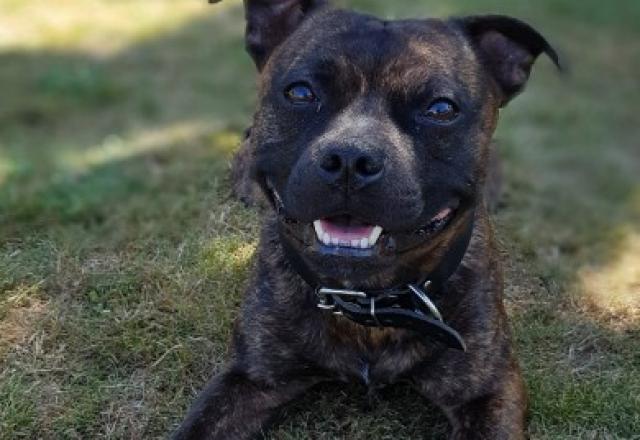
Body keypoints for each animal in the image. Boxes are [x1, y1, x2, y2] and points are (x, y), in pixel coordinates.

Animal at [172, 1, 556, 438]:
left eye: (441, 109)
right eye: (300, 92)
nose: (351, 158)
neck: (368, 300)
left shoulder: (490, 389)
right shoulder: (250, 377)